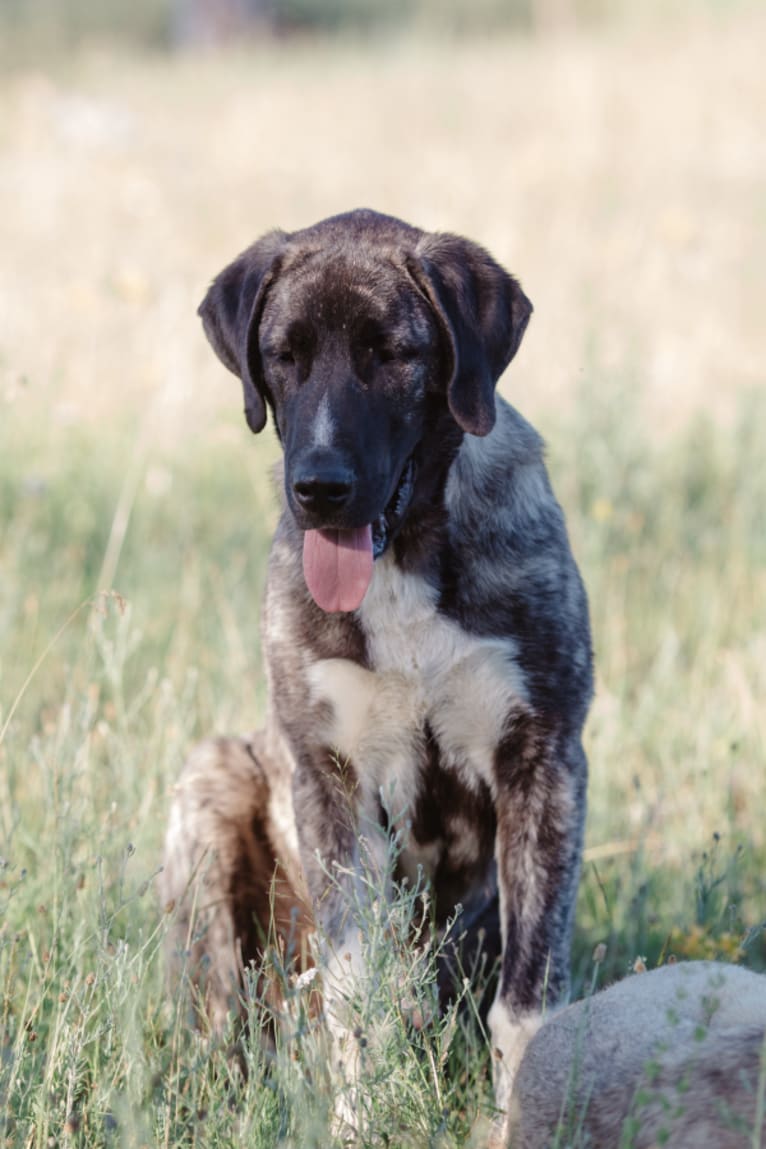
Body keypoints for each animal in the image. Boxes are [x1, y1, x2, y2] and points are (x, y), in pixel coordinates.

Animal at [161, 209, 592, 1130]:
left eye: (393, 353)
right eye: (283, 354)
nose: (319, 487)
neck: (407, 552)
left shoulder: (542, 764)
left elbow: (527, 1001)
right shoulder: (332, 779)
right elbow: (358, 993)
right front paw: (358, 1124)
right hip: (210, 793)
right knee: (226, 1015)